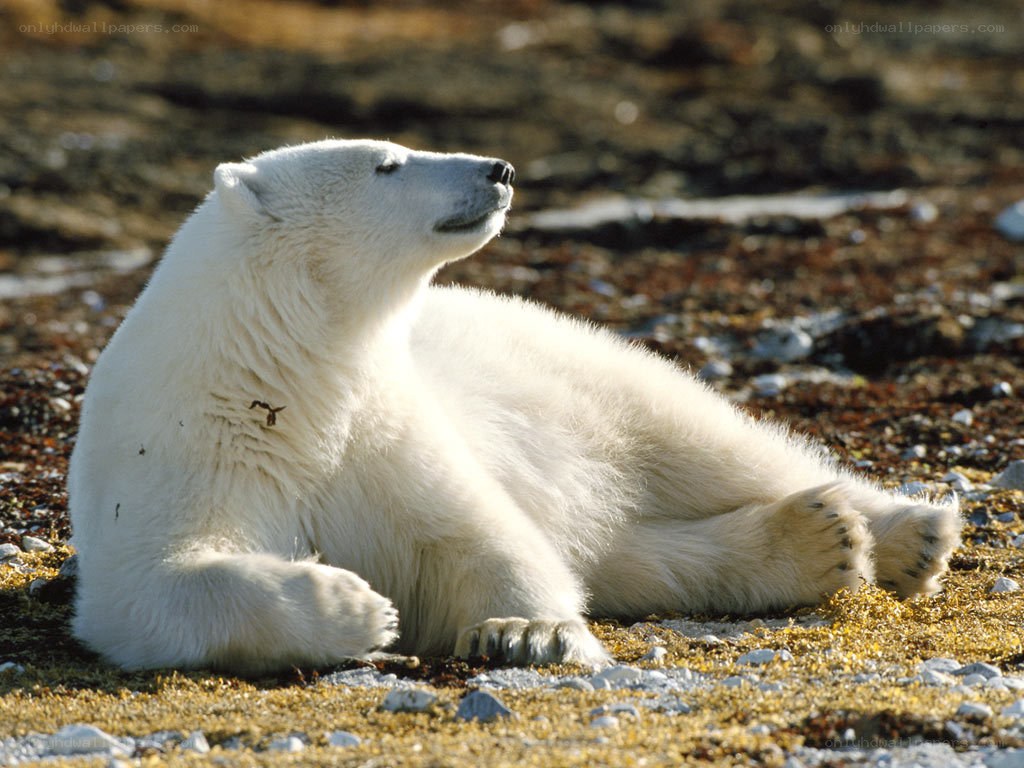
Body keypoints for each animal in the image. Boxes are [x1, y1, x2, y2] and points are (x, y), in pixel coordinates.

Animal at [68, 139, 962, 674]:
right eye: (387, 163)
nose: (497, 169)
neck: (284, 379)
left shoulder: (383, 430)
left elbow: (484, 535)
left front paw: (523, 632)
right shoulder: (184, 449)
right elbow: (154, 587)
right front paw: (358, 606)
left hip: (580, 370)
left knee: (708, 444)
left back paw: (906, 532)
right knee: (638, 553)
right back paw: (816, 539)